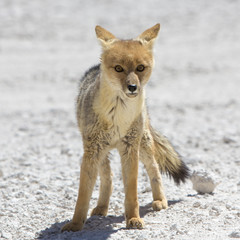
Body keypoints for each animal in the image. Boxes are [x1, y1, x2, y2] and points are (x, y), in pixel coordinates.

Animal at [61, 23, 189, 232]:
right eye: (119, 68)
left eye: (140, 68)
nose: (132, 87)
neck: (117, 116)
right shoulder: (92, 151)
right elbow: (83, 194)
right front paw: (75, 224)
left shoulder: (130, 149)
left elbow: (131, 191)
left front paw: (133, 219)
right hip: (100, 151)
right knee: (108, 177)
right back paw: (102, 207)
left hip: (143, 145)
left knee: (154, 168)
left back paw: (160, 200)